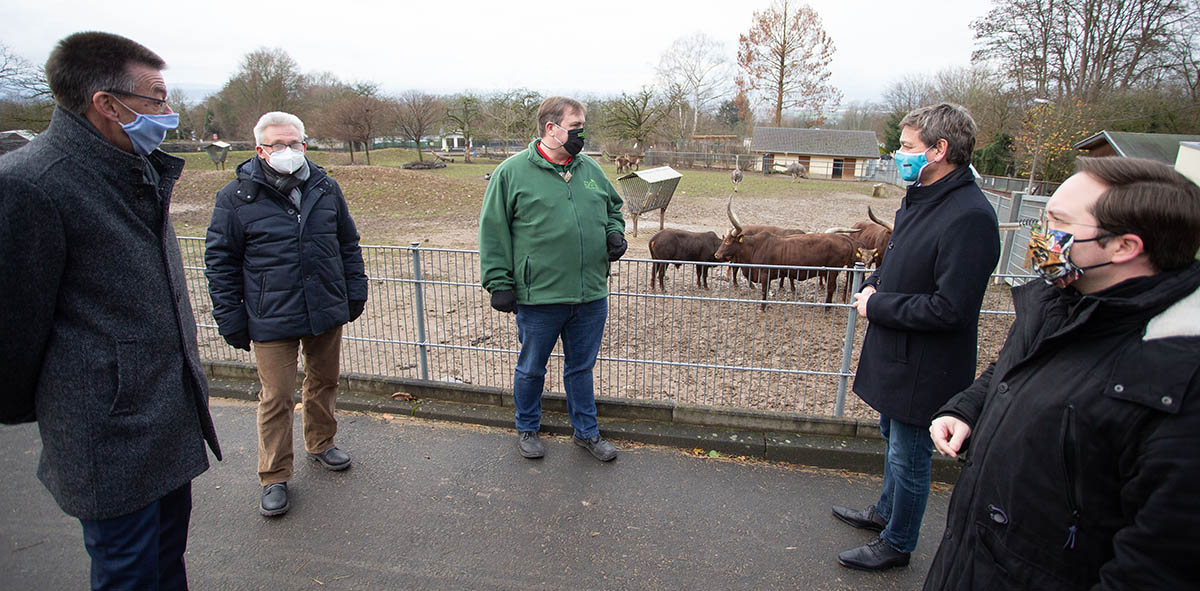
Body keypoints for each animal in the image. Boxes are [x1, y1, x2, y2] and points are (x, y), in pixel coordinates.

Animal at [715, 199, 859, 309]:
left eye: (727, 241)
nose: (716, 254)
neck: (755, 248)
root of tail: (844, 239)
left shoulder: (765, 275)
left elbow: (764, 291)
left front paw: (763, 307)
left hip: (833, 271)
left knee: (831, 288)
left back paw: (827, 308)